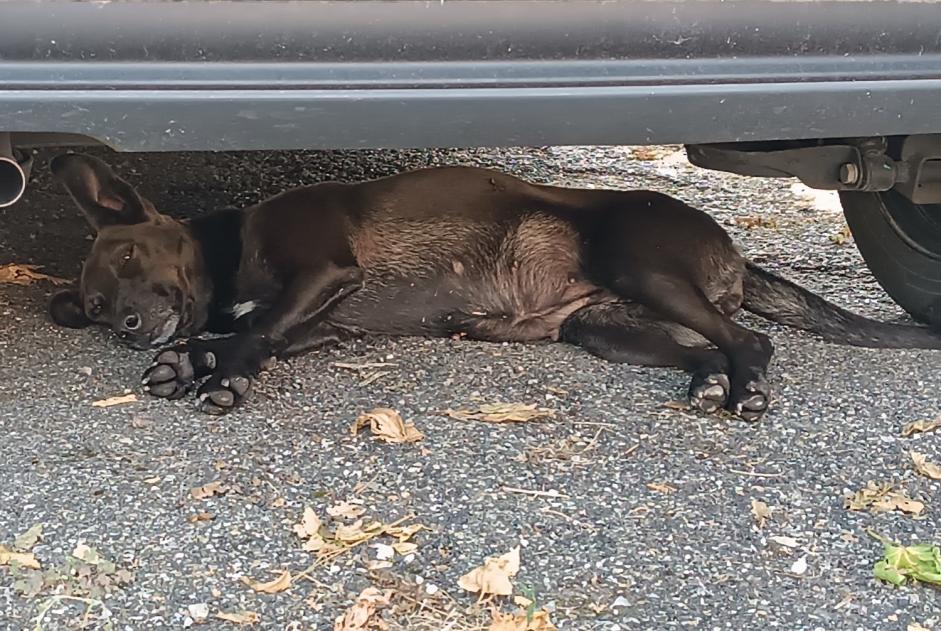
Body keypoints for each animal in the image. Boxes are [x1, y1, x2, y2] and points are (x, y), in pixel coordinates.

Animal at [47, 153, 940, 420]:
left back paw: (746, 388)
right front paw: (189, 360)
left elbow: (246, 332)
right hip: (608, 328)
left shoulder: (322, 276)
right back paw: (711, 383)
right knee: (705, 349)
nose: (124, 326)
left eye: (126, 259)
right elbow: (244, 329)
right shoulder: (322, 322)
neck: (232, 249)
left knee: (750, 338)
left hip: (643, 268)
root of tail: (733, 251)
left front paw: (218, 374)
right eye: (93, 306)